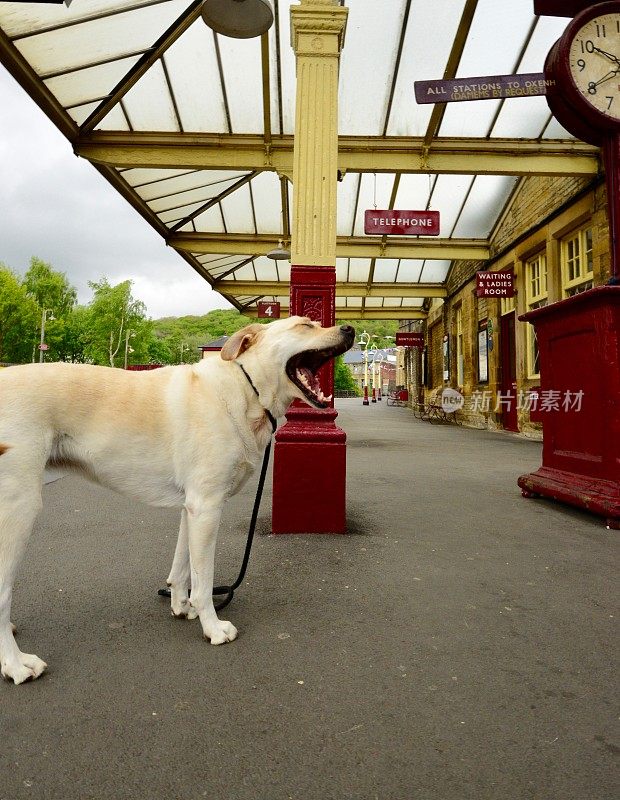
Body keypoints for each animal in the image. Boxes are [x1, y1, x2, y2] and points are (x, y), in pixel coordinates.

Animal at [0, 316, 354, 684]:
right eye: (305, 325)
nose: (350, 330)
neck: (246, 389)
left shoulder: (193, 507)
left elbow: (183, 568)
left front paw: (181, 606)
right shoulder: (207, 507)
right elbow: (204, 581)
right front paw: (212, 627)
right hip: (19, 511)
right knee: (2, 594)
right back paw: (15, 664)